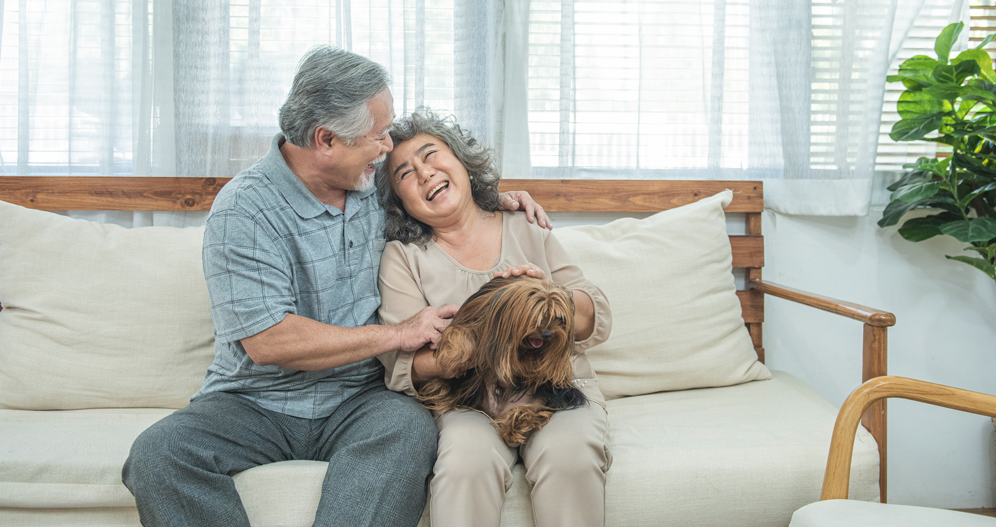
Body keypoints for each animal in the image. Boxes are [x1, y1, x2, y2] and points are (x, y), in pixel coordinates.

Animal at [416, 276, 588, 446]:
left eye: (559, 318)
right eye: (535, 315)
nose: (548, 335)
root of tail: (495, 411)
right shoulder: (471, 313)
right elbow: (459, 330)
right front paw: (453, 357)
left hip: (539, 398)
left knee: (530, 410)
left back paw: (517, 425)